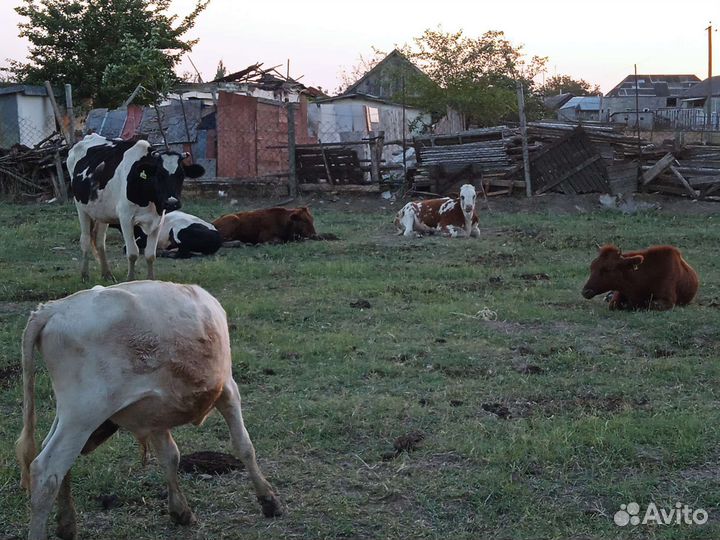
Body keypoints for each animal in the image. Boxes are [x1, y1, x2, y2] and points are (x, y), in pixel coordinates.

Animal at [16, 281, 282, 540]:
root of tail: (52, 308)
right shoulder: (228, 388)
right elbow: (244, 445)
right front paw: (268, 500)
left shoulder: (154, 412)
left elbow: (170, 456)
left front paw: (180, 511)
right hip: (84, 414)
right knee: (47, 470)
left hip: (69, 414)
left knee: (56, 459)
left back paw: (66, 524)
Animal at [67, 133, 205, 281]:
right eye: (159, 175)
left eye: (181, 175)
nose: (172, 202)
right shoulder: (125, 218)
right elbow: (133, 252)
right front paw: (130, 280)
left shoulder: (158, 220)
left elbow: (150, 254)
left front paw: (150, 280)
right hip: (81, 207)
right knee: (85, 239)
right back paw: (84, 275)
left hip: (102, 212)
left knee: (99, 241)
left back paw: (107, 274)